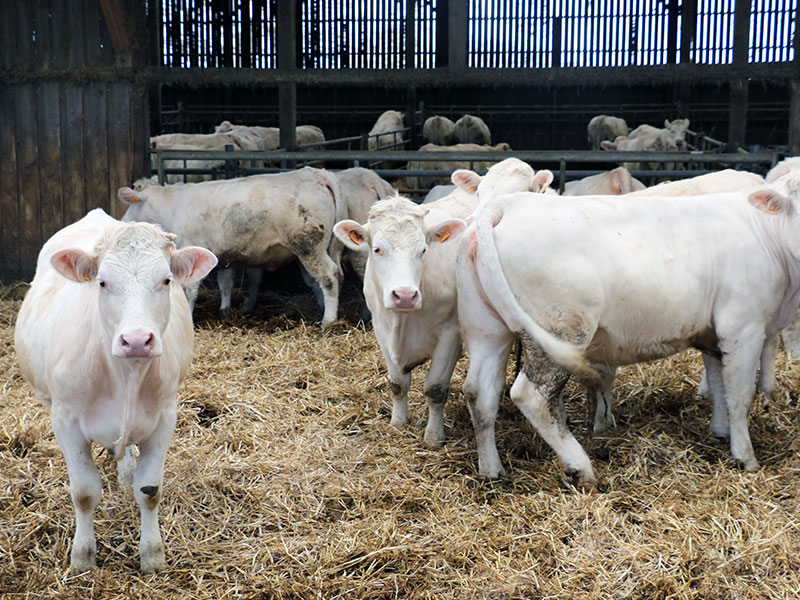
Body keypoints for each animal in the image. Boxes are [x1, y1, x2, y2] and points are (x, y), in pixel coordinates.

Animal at [120, 166, 346, 324]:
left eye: (131, 204)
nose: (121, 222)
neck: (172, 208)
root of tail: (316, 174)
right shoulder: (223, 256)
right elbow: (225, 283)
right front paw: (225, 310)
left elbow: (189, 290)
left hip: (310, 247)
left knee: (329, 276)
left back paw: (328, 320)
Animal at [466, 172, 800, 488]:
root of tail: (509, 205)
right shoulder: (743, 326)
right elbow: (739, 394)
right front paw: (745, 456)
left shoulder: (713, 333)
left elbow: (718, 384)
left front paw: (720, 432)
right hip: (561, 329)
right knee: (531, 396)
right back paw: (581, 468)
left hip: (489, 333)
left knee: (480, 392)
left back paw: (492, 470)